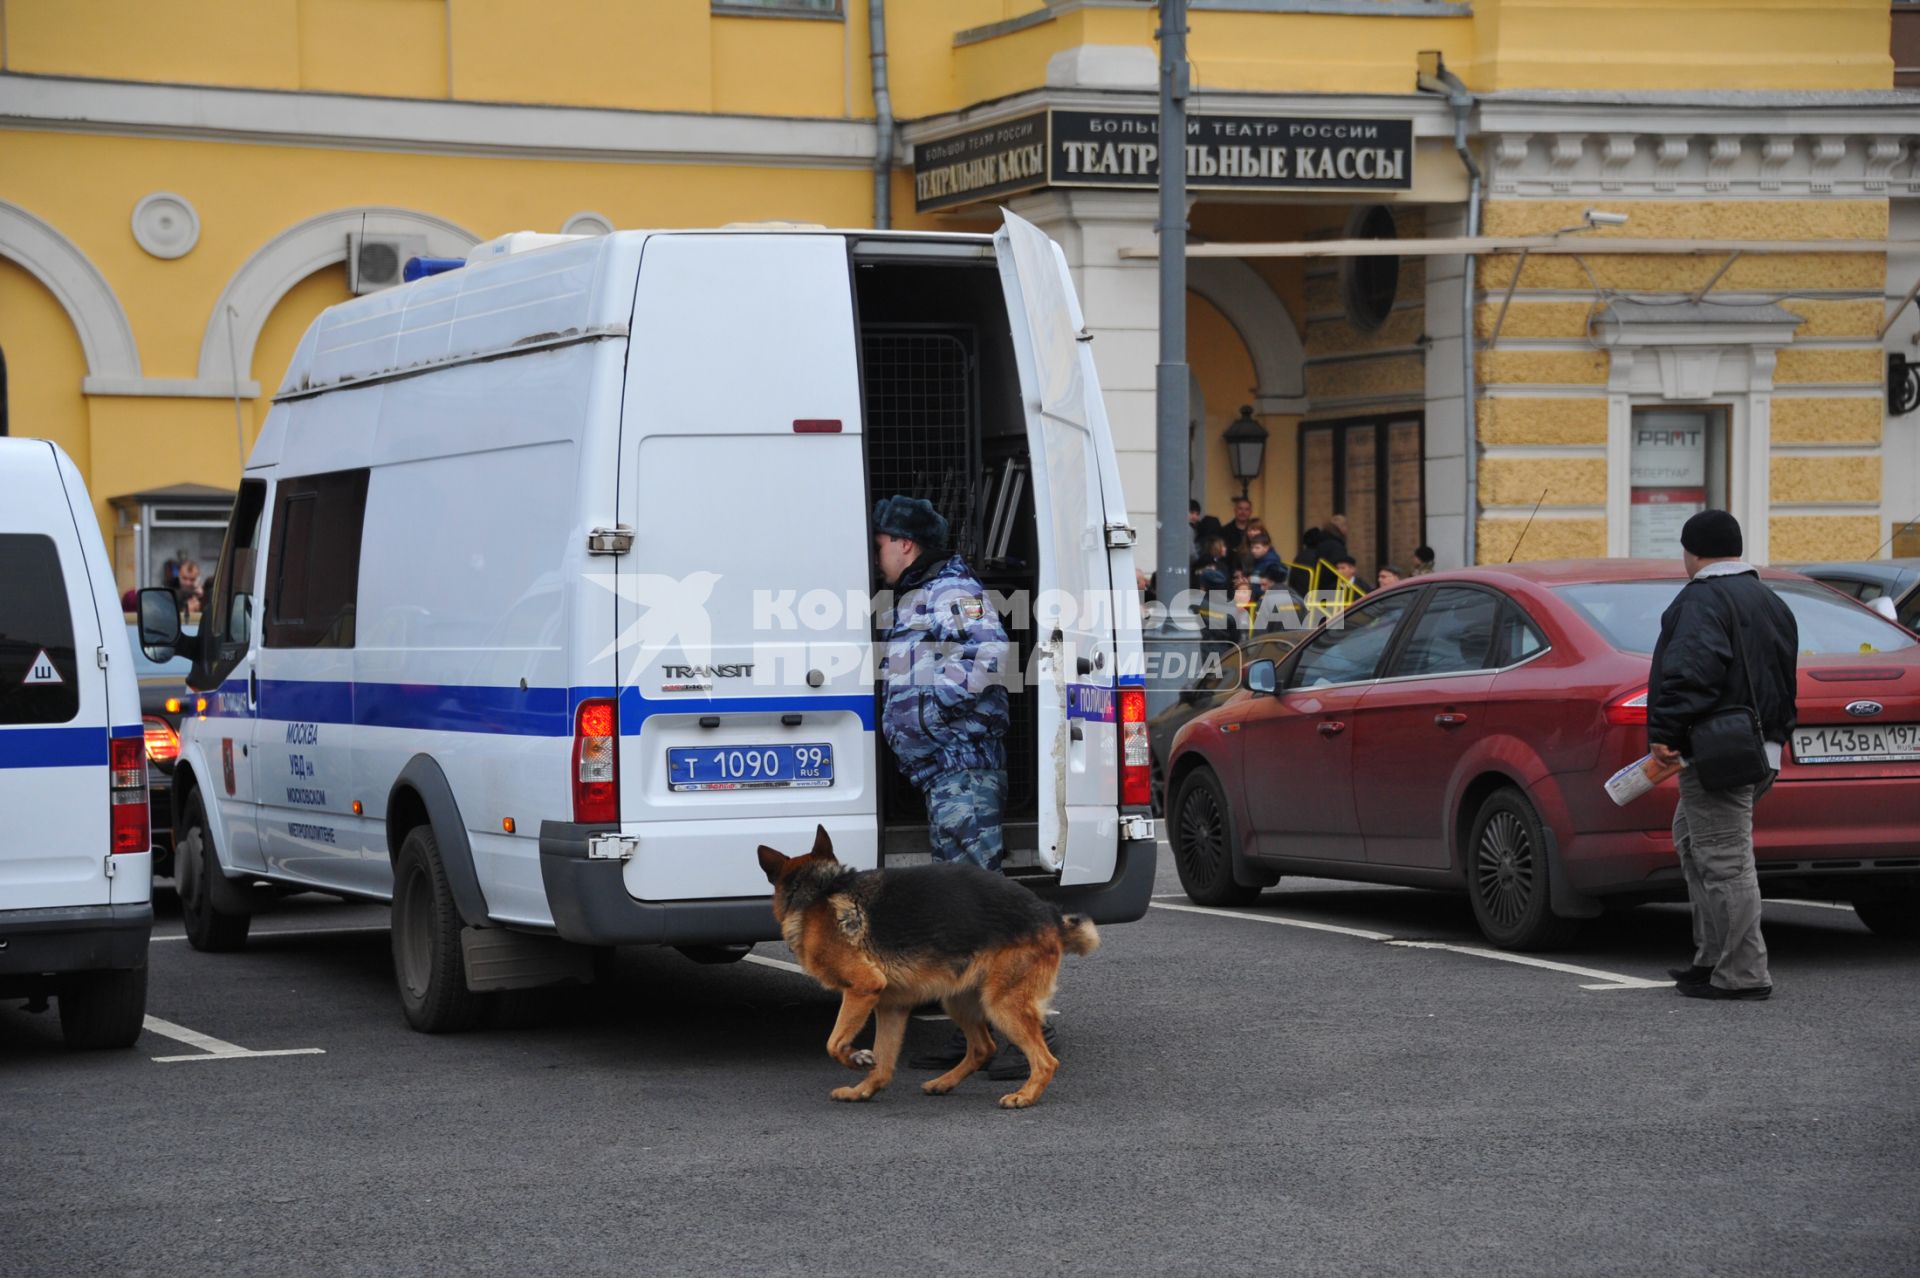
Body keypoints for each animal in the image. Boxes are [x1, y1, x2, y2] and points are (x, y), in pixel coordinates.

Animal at [756, 825, 1105, 1105]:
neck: (817, 891)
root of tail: (1050, 914)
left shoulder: (863, 988)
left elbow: (834, 1043)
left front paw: (856, 1058)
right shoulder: (890, 1006)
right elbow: (884, 1061)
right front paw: (863, 1089)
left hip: (1001, 1004)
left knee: (1045, 1061)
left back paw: (1025, 1095)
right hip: (958, 1000)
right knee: (983, 1047)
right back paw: (944, 1083)